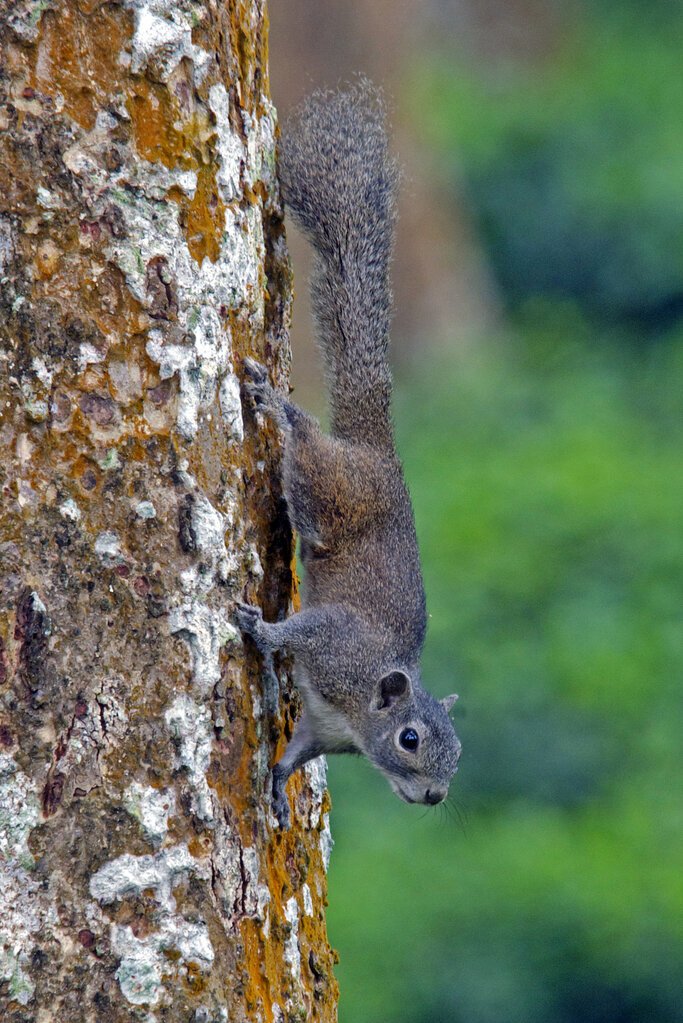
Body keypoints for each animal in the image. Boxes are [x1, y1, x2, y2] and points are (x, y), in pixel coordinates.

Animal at [235, 80, 461, 829]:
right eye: (410, 739)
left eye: (458, 752)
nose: (435, 796)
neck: (361, 709)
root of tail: (375, 447)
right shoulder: (332, 641)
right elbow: (293, 634)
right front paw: (260, 630)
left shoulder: (322, 728)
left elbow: (295, 752)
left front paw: (277, 785)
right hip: (329, 485)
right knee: (304, 442)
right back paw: (273, 403)